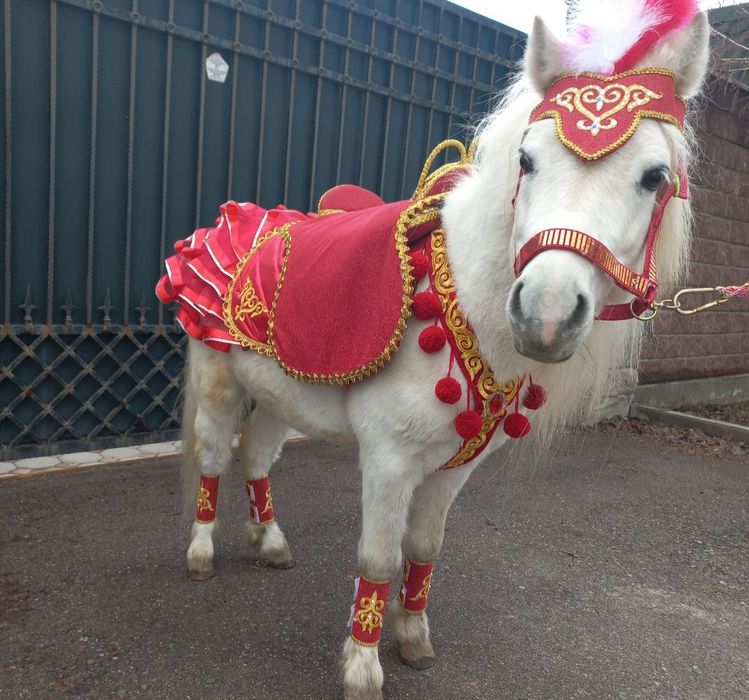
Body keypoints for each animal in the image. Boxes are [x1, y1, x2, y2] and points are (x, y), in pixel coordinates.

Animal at [157, 3, 710, 697]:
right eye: (526, 160)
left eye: (654, 176)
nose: (545, 314)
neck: (463, 303)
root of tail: (224, 224)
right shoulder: (389, 460)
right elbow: (377, 556)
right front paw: (362, 667)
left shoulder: (452, 469)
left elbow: (423, 551)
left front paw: (413, 638)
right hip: (219, 383)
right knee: (212, 456)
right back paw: (201, 553)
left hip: (284, 395)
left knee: (256, 455)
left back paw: (271, 540)